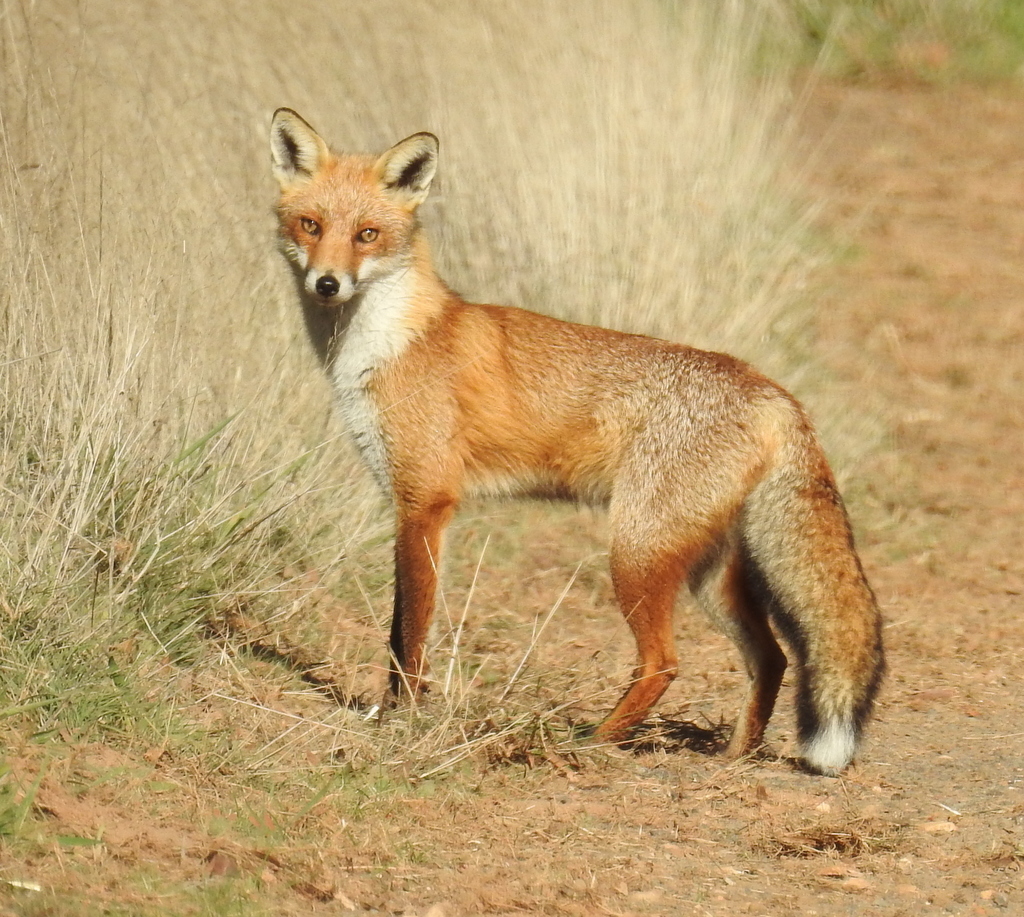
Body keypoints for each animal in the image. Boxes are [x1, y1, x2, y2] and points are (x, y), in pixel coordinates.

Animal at [268, 111, 884, 777]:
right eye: (311, 225)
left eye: (368, 234)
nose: (327, 284)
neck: (389, 345)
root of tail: (771, 391)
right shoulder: (409, 504)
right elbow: (397, 630)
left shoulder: (426, 503)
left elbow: (408, 634)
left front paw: (400, 722)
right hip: (705, 571)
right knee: (771, 658)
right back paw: (733, 758)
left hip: (636, 554)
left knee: (665, 662)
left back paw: (594, 740)